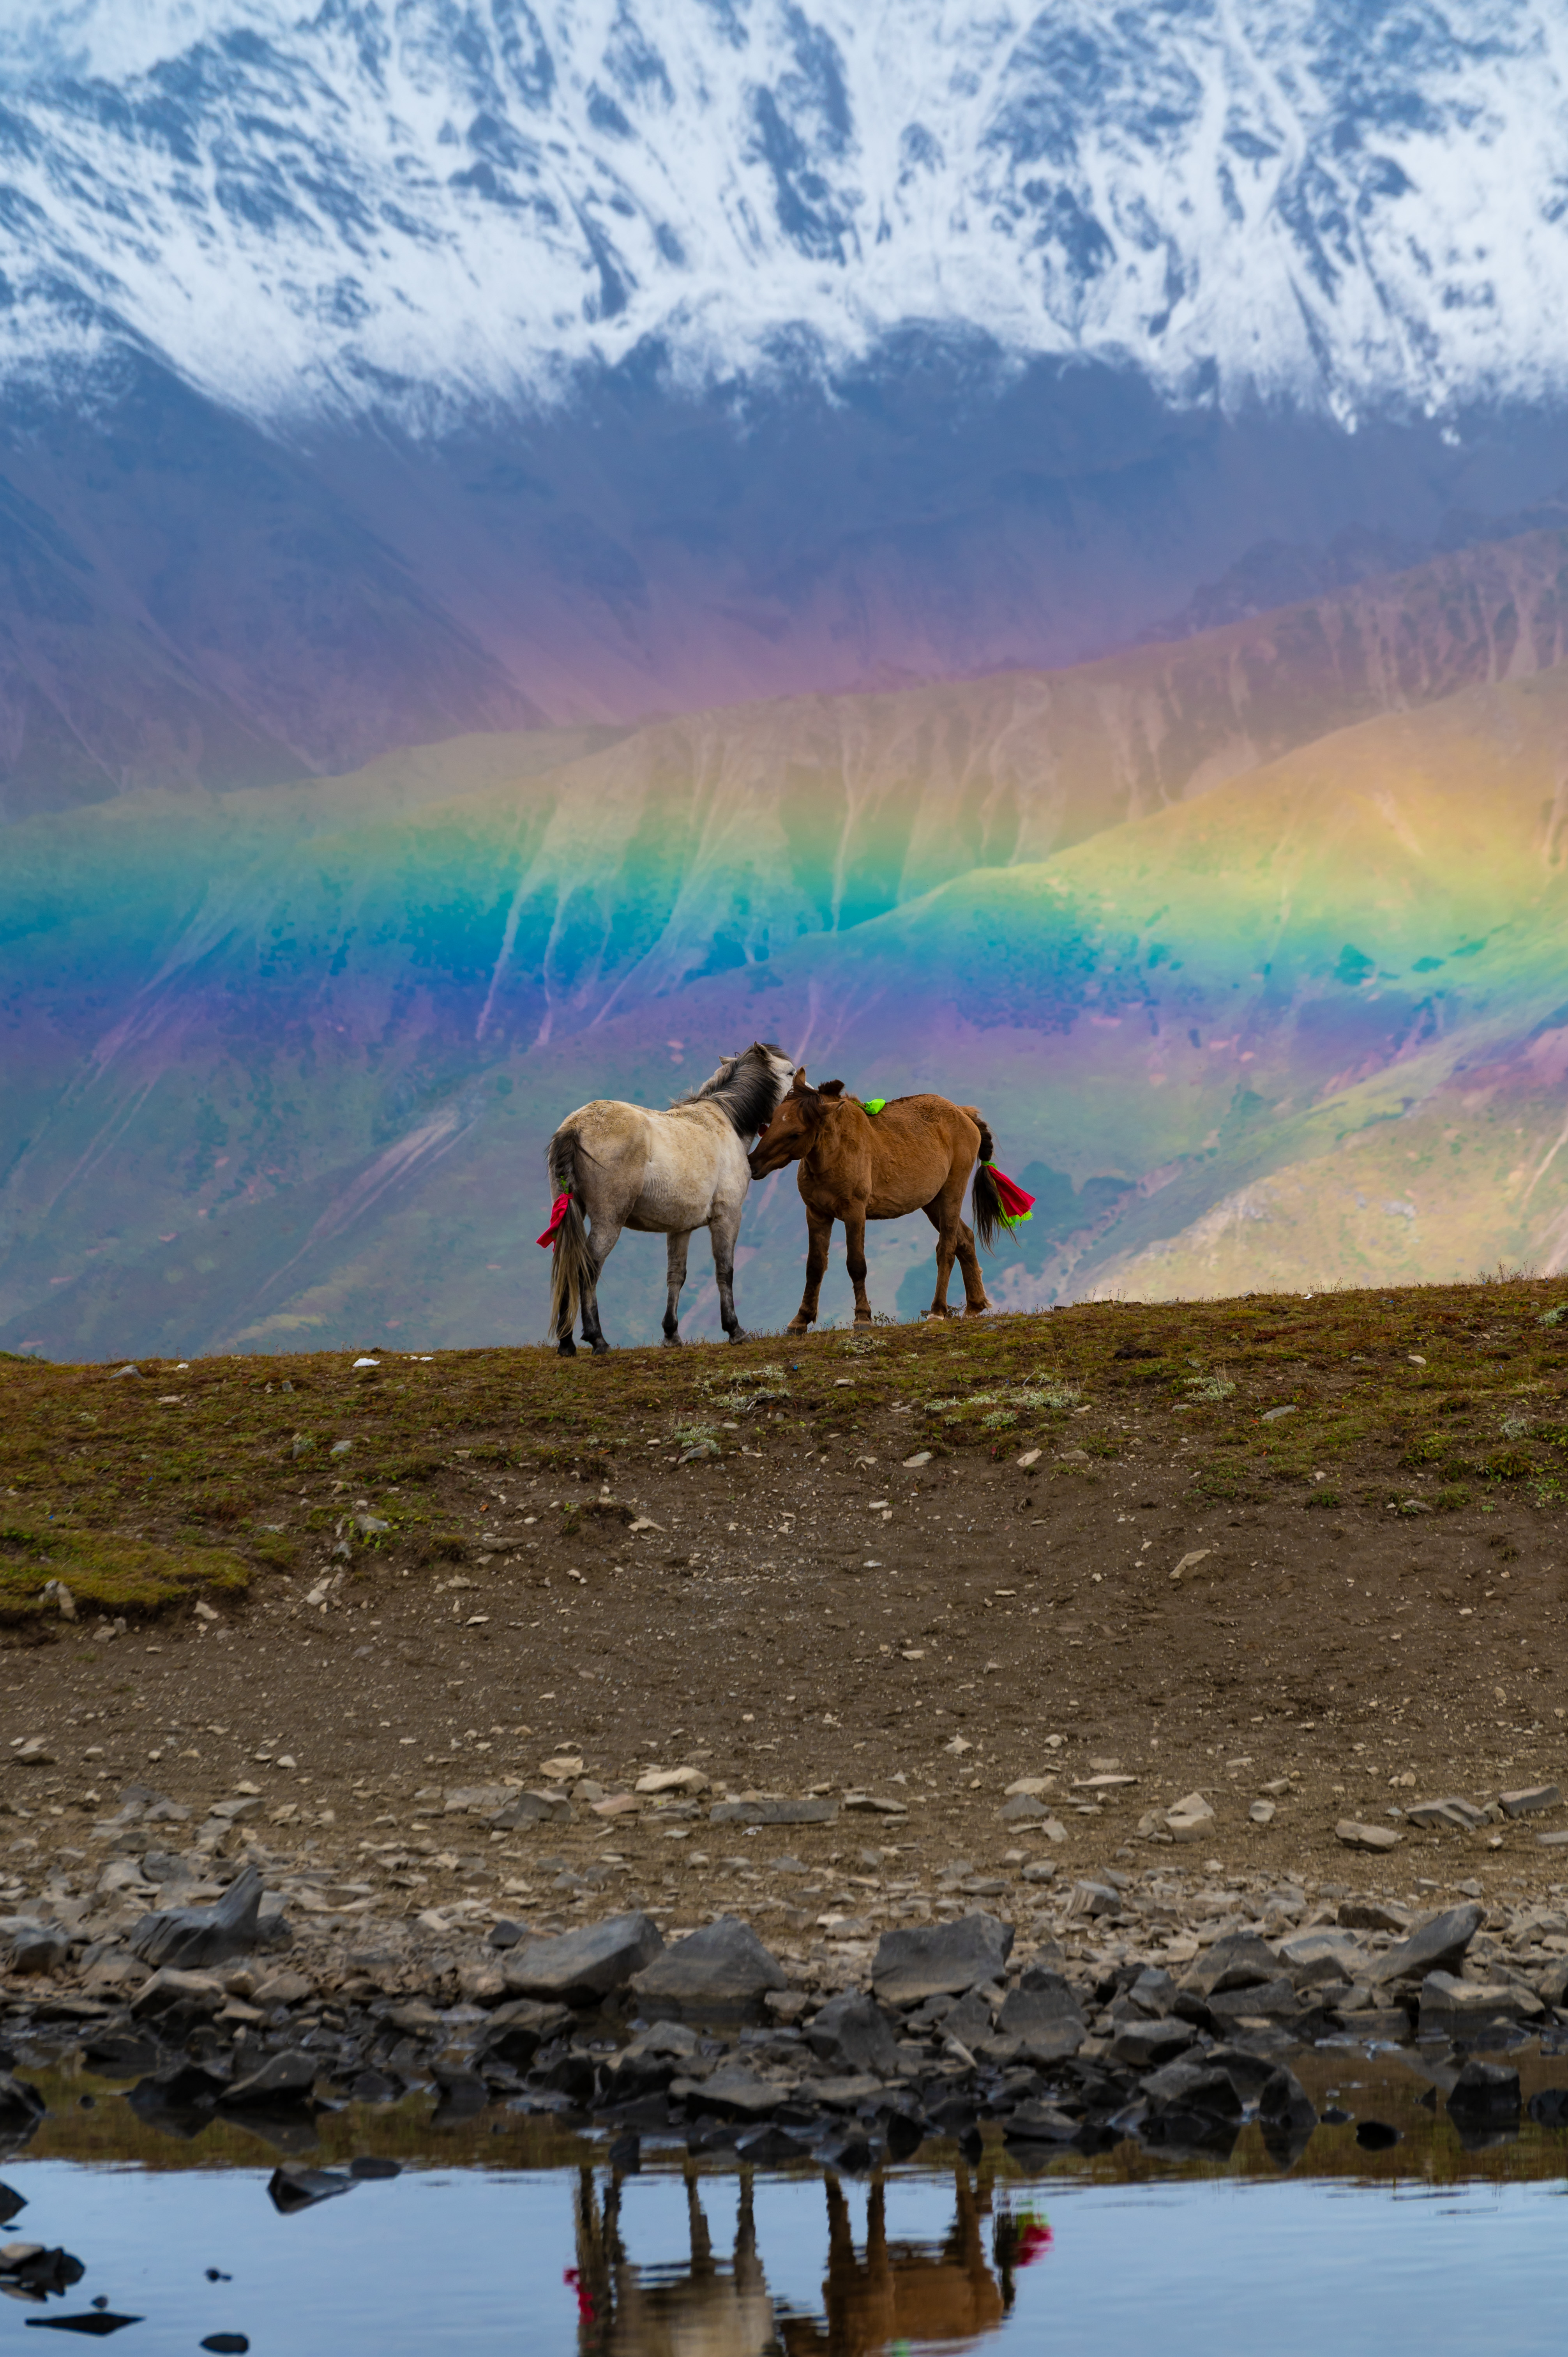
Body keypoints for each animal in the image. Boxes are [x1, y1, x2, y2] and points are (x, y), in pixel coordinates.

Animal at [547, 1042, 797, 1357]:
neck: (726, 1122)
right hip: (608, 1221)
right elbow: (725, 1270)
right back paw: (597, 1339)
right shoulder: (728, 1217)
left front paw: (671, 1334)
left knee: (568, 1264)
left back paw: (567, 1343)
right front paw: (735, 1330)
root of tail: (575, 1127)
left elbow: (676, 1276)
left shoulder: (680, 1228)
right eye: (791, 1073)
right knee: (588, 1269)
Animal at [750, 1074, 1009, 1329]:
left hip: (951, 1194)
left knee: (947, 1248)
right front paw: (801, 1320)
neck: (834, 1152)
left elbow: (856, 1265)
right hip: (933, 1202)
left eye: (796, 1133)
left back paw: (938, 1311)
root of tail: (964, 1113)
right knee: (965, 1239)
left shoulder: (854, 1212)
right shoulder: (816, 1213)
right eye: (772, 1121)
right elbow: (814, 1266)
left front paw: (863, 1318)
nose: (753, 1163)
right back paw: (974, 1306)